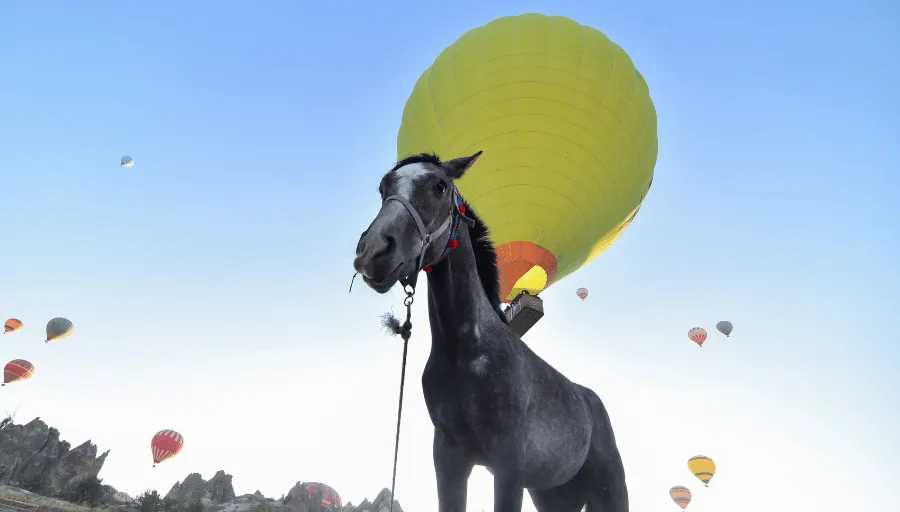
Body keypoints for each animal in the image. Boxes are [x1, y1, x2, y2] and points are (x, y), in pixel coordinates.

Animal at [353, 152, 629, 512]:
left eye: (440, 186)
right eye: (383, 187)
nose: (373, 250)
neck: (466, 352)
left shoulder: (508, 461)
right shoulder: (449, 460)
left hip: (611, 487)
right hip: (554, 496)